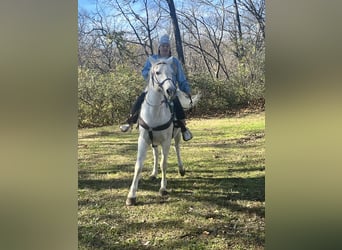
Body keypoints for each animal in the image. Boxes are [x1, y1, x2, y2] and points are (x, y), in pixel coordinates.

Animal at [126, 56, 179, 205]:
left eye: (172, 72)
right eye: (157, 72)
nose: (171, 91)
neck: (155, 112)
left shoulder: (166, 142)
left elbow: (164, 163)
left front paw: (163, 188)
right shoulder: (143, 140)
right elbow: (138, 165)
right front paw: (131, 195)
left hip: (177, 136)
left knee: (177, 148)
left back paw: (182, 169)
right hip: (153, 141)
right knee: (155, 154)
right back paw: (154, 173)